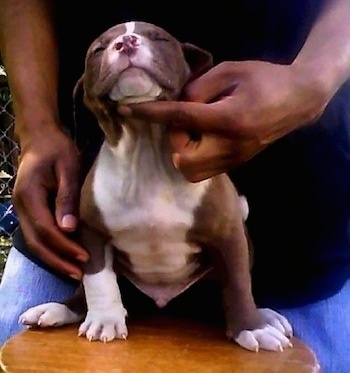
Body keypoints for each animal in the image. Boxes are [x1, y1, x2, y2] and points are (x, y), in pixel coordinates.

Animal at [19, 21, 292, 352]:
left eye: (159, 38)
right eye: (99, 49)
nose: (126, 42)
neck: (145, 148)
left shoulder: (229, 233)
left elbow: (238, 282)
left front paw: (252, 328)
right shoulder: (92, 232)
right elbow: (98, 279)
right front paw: (105, 320)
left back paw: (264, 316)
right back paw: (60, 309)